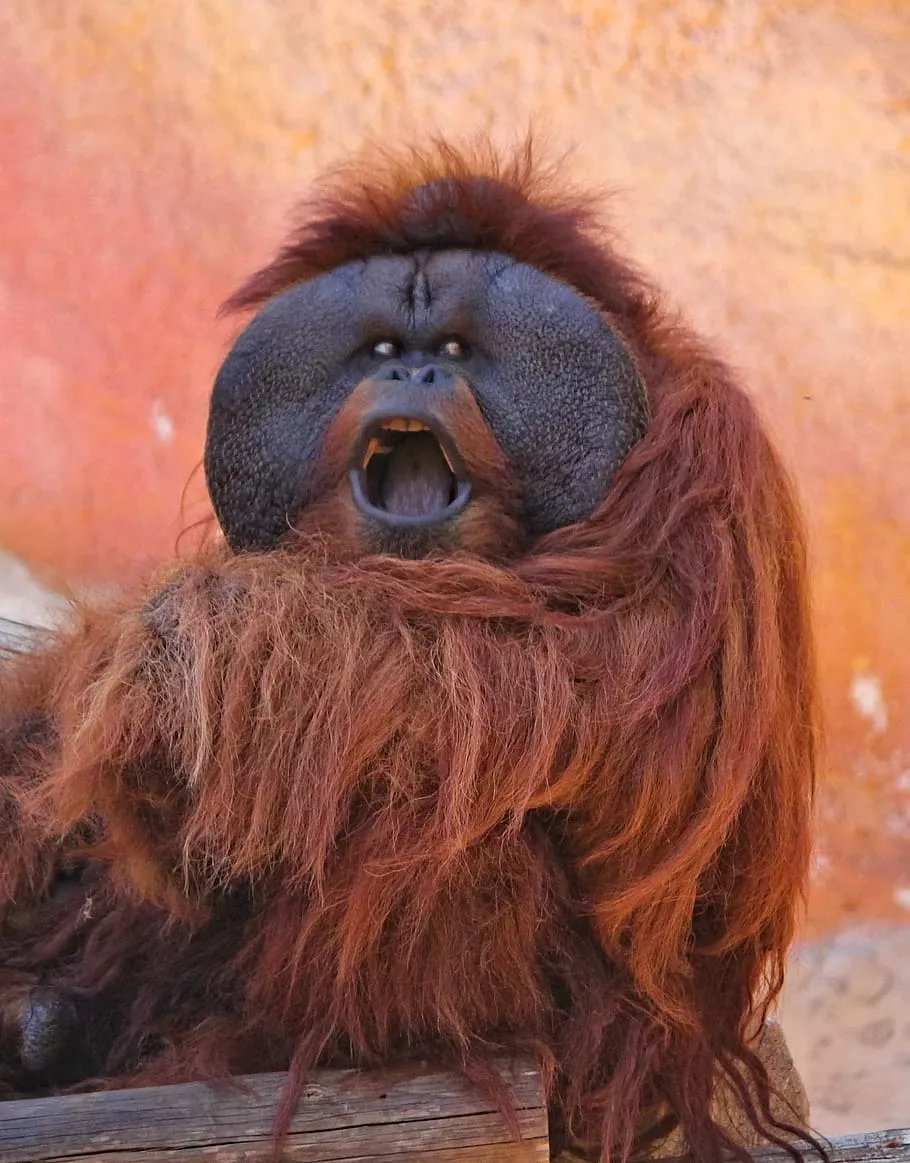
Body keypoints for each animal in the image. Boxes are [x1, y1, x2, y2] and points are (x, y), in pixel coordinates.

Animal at [0, 141, 820, 1163]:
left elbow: (575, 677)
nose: (417, 379)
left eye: (459, 352)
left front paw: (173, 643)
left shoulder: (704, 472)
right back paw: (49, 1024)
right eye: (387, 351)